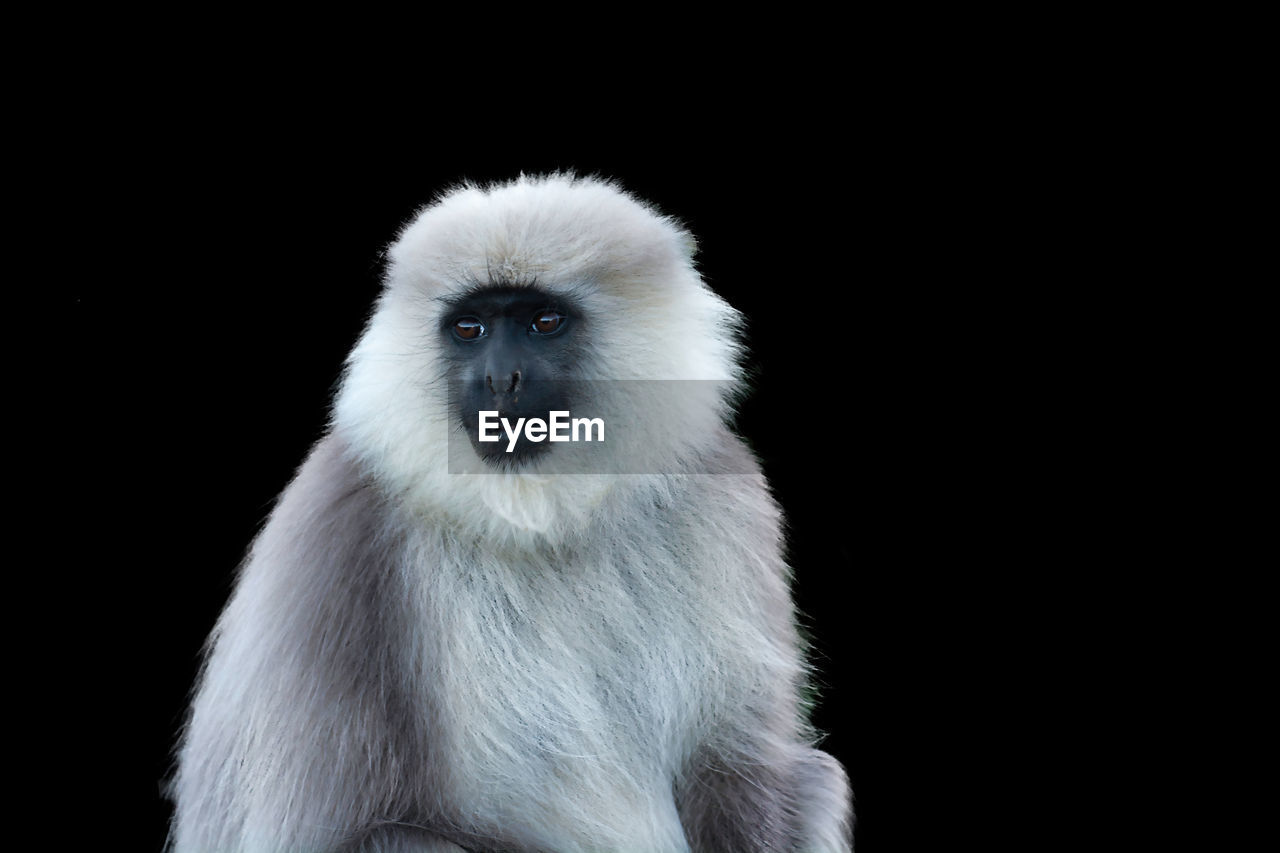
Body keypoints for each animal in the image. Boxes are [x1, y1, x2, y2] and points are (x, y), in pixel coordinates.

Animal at [167, 174, 849, 850]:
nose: (500, 380)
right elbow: (340, 831)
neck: (543, 519)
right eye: (470, 329)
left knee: (815, 777)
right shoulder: (338, 525)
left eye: (543, 322)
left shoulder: (723, 497)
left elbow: (736, 761)